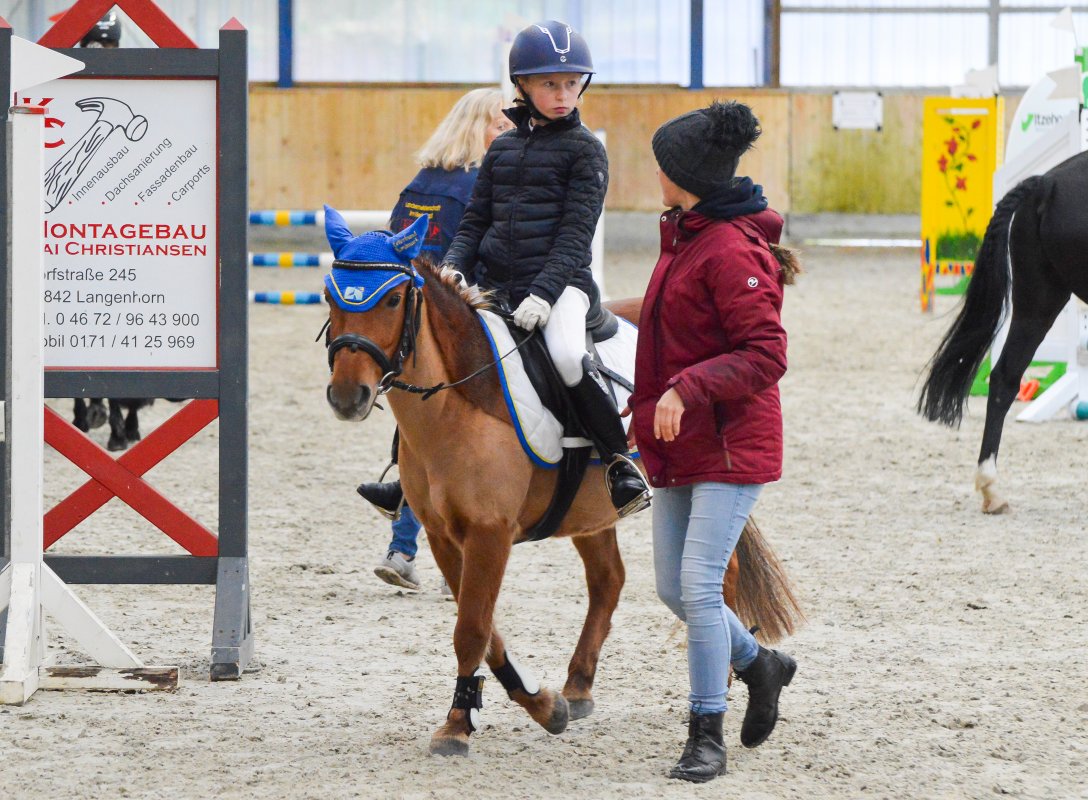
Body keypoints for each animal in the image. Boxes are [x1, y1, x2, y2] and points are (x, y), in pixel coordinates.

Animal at [322, 249, 803, 756]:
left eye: (393, 299)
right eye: (329, 297)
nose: (347, 396)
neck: (458, 406)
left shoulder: (489, 533)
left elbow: (471, 630)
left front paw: (456, 725)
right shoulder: (444, 536)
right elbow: (486, 631)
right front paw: (543, 705)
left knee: (718, 577)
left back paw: (728, 679)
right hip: (591, 512)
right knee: (609, 580)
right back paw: (578, 685)